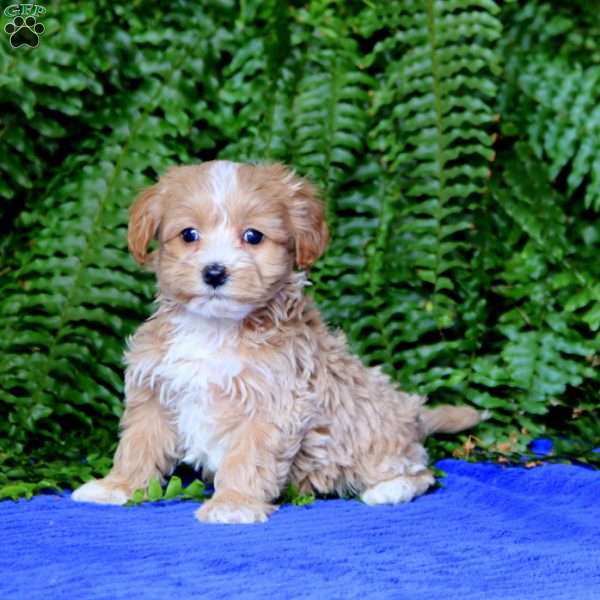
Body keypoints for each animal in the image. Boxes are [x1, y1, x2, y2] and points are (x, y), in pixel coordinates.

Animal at [72, 162, 480, 524]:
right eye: (189, 235)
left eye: (253, 236)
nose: (214, 272)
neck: (214, 327)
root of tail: (412, 414)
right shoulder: (154, 393)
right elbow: (139, 445)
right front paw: (117, 486)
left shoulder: (271, 404)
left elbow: (247, 459)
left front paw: (233, 504)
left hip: (376, 436)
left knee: (420, 472)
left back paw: (389, 489)